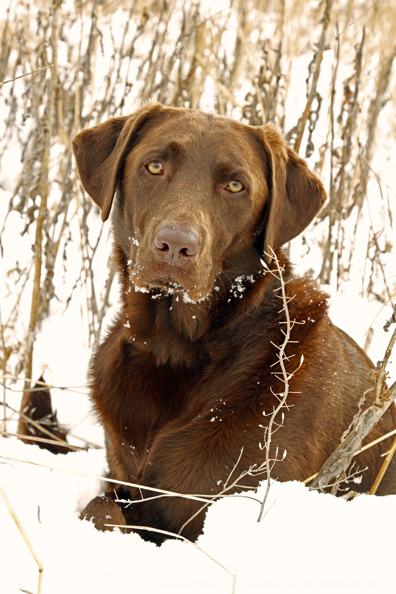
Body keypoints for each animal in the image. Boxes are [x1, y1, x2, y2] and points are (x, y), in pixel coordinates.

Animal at [69, 103, 394, 540]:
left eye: (236, 186)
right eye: (154, 166)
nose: (175, 245)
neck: (174, 350)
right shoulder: (122, 478)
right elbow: (99, 506)